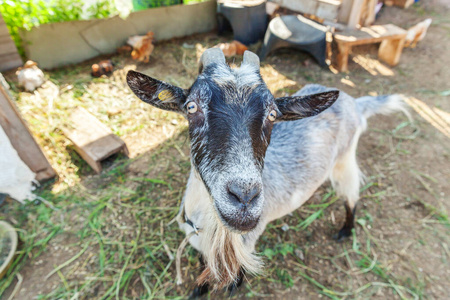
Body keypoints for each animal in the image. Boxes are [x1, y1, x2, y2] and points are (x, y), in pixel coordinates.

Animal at [125, 47, 408, 296]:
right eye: (191, 107)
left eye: (272, 114)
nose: (244, 198)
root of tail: (355, 103)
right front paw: (198, 290)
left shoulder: (248, 241)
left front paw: (232, 286)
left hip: (344, 160)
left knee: (352, 194)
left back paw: (345, 231)